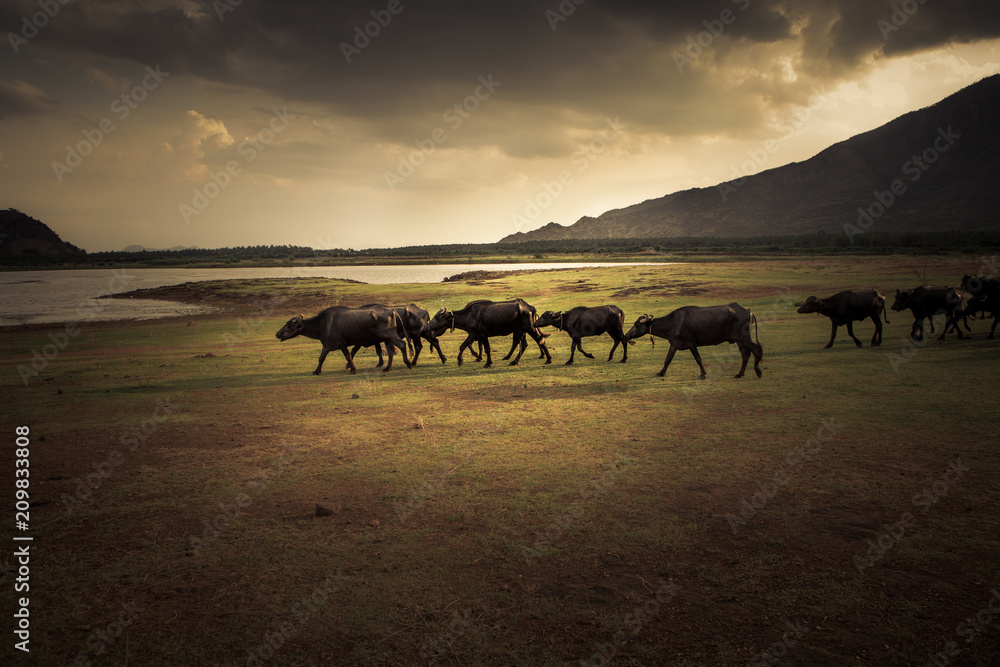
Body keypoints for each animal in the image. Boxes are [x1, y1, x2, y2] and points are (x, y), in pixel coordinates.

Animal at [276, 304, 412, 374]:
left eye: (289, 325)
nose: (277, 333)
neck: (322, 324)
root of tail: (391, 310)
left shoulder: (341, 344)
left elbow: (348, 356)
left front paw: (352, 369)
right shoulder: (326, 345)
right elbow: (321, 358)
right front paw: (316, 371)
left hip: (390, 336)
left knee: (402, 344)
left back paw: (408, 363)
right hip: (387, 339)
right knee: (391, 352)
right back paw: (387, 368)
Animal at [420, 300, 552, 368]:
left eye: (438, 318)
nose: (426, 328)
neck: (470, 316)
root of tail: (530, 308)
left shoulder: (483, 335)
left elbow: (487, 349)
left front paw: (488, 363)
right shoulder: (473, 335)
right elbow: (462, 346)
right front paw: (460, 360)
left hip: (530, 328)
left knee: (540, 339)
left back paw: (548, 359)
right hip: (520, 330)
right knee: (523, 344)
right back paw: (514, 361)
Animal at [620, 304, 760, 378]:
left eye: (636, 325)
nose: (626, 336)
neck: (672, 324)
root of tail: (748, 310)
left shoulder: (692, 344)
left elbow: (698, 359)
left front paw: (703, 374)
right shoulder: (674, 344)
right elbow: (667, 360)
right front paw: (661, 372)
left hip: (744, 338)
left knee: (756, 349)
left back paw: (757, 371)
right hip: (739, 340)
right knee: (746, 354)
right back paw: (740, 374)